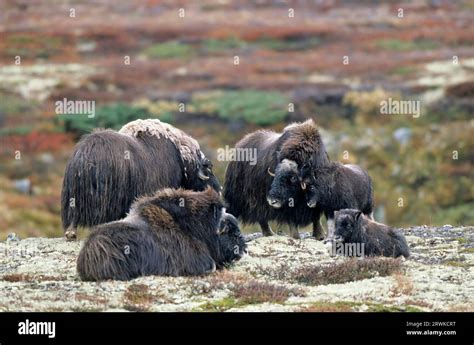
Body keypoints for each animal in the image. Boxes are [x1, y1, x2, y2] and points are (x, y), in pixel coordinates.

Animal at [60, 118, 220, 239]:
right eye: (208, 168)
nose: (218, 189)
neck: (181, 159)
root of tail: (87, 153)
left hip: (73, 193)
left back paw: (70, 233)